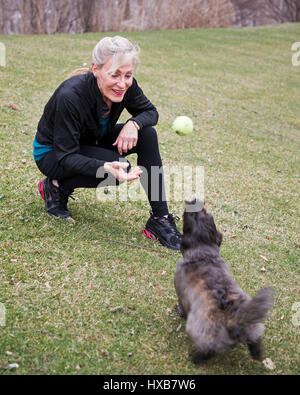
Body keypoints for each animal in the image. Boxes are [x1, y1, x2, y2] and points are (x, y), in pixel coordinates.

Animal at [173, 201, 274, 366]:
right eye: (205, 212)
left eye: (190, 214)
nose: (194, 201)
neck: (203, 253)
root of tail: (236, 316)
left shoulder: (181, 294)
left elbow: (181, 304)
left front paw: (179, 311)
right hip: (253, 328)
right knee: (255, 341)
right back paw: (257, 353)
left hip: (201, 331)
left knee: (207, 350)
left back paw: (197, 358)